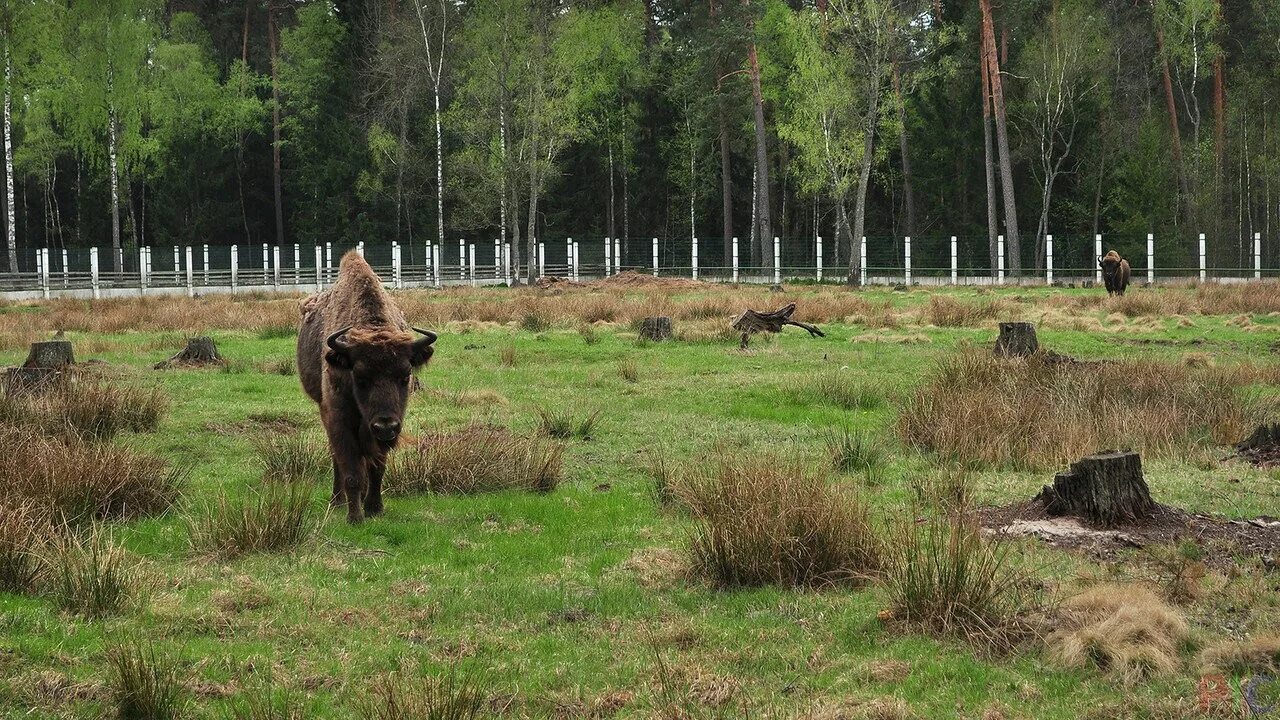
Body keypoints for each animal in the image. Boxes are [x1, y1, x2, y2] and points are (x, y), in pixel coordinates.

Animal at [296, 252, 437, 520]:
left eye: (405, 376)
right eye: (359, 377)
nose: (385, 426)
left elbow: (376, 467)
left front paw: (374, 507)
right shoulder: (340, 419)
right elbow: (351, 470)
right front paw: (355, 517)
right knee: (337, 459)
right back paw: (337, 501)